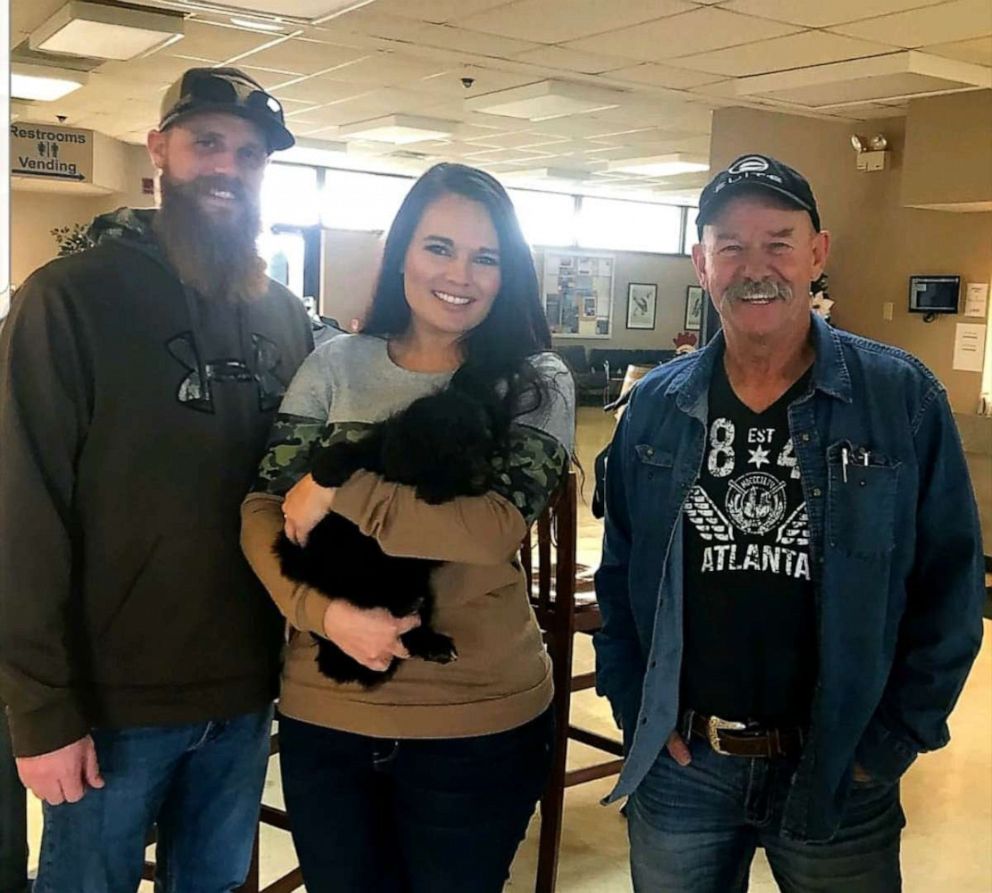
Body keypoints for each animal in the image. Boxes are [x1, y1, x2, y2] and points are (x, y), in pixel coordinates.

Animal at [278, 366, 512, 688]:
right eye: (450, 449)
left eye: (484, 445)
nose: (482, 480)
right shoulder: (379, 449)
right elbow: (351, 450)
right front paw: (327, 469)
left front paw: (435, 488)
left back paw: (434, 645)